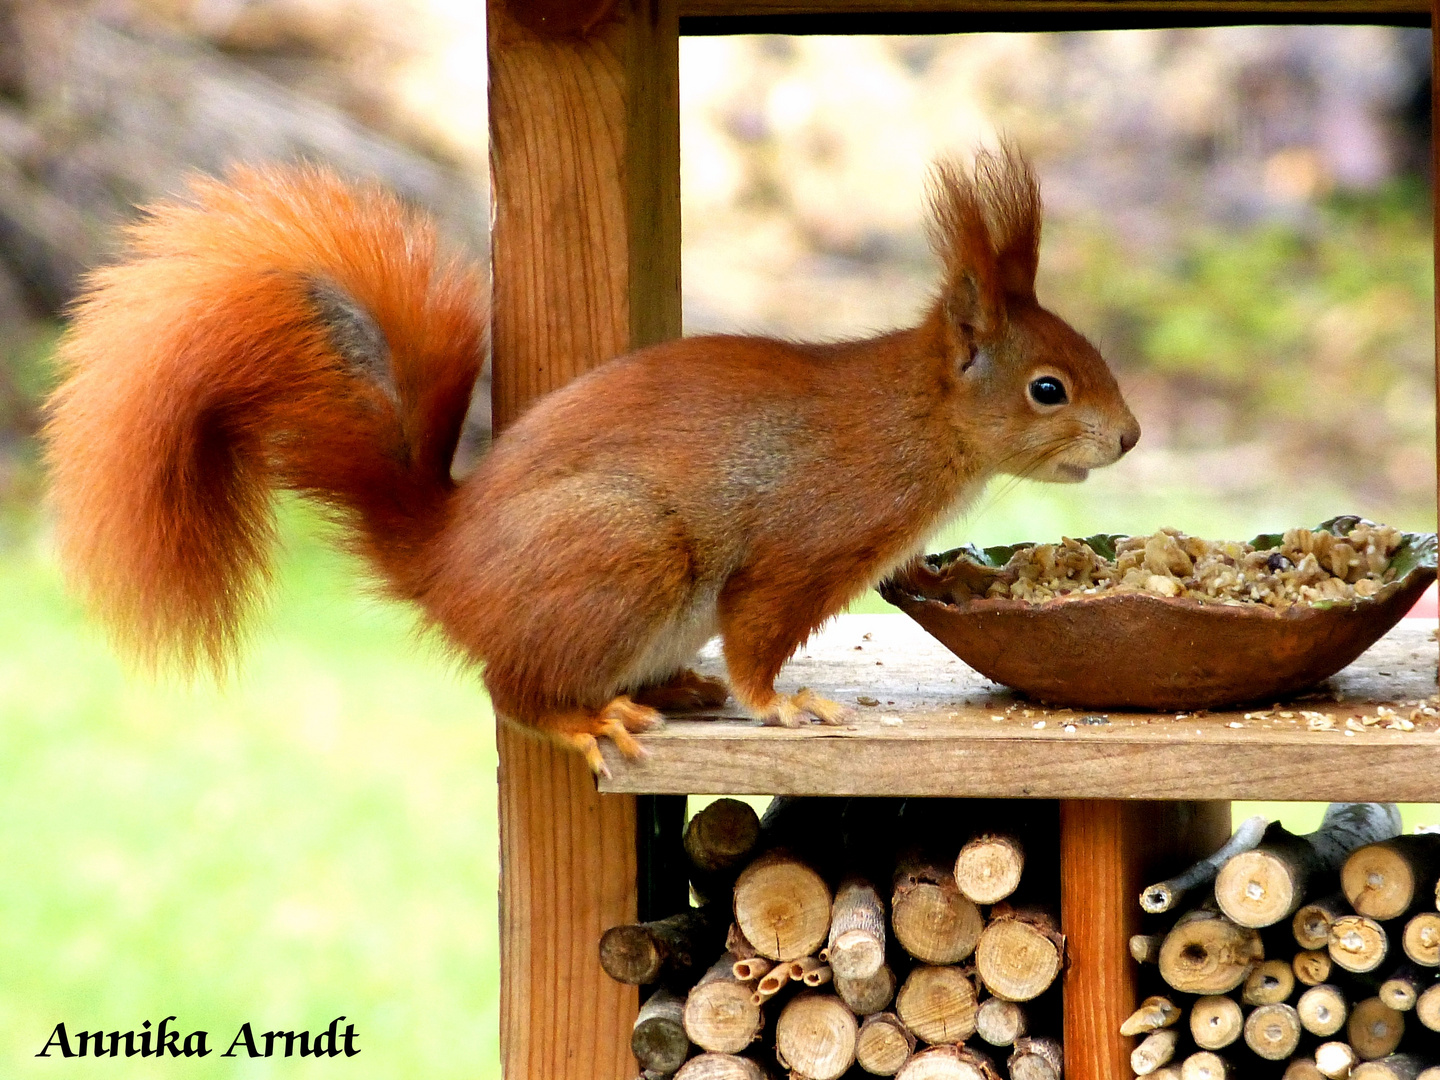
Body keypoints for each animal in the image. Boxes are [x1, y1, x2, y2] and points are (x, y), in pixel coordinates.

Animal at [45, 146, 1140, 777]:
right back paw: (584, 723)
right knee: (510, 692)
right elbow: (758, 636)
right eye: (1049, 388)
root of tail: (445, 559)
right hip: (623, 551)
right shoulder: (802, 546)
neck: (916, 422)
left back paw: (672, 688)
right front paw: (784, 705)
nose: (1129, 437)